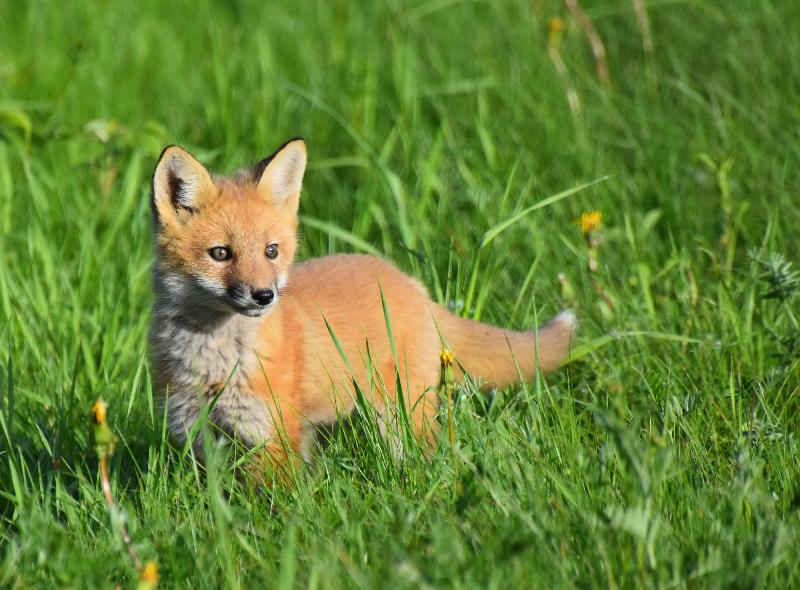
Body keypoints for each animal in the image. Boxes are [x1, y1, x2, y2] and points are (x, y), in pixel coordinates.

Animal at [150, 139, 576, 472]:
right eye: (220, 253)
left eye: (271, 251)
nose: (264, 295)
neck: (213, 362)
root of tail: (411, 285)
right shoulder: (197, 435)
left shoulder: (273, 435)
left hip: (403, 415)